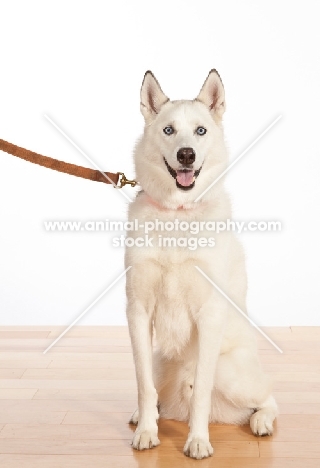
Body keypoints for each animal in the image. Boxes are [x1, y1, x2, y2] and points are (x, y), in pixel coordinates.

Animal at [125, 70, 278, 460]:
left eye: (200, 131)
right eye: (168, 130)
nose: (186, 154)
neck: (178, 215)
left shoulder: (209, 315)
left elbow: (202, 395)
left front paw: (197, 441)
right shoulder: (138, 311)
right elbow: (143, 386)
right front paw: (147, 432)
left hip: (231, 373)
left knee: (267, 398)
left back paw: (261, 422)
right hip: (162, 362)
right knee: (158, 392)